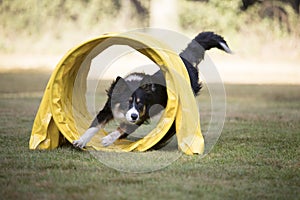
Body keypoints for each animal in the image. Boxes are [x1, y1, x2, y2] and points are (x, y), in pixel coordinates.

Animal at [73, 31, 232, 148]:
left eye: (140, 104)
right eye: (126, 102)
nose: (133, 116)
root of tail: (184, 60)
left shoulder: (140, 117)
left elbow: (121, 129)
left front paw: (107, 139)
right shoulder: (108, 109)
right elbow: (94, 126)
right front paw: (81, 141)